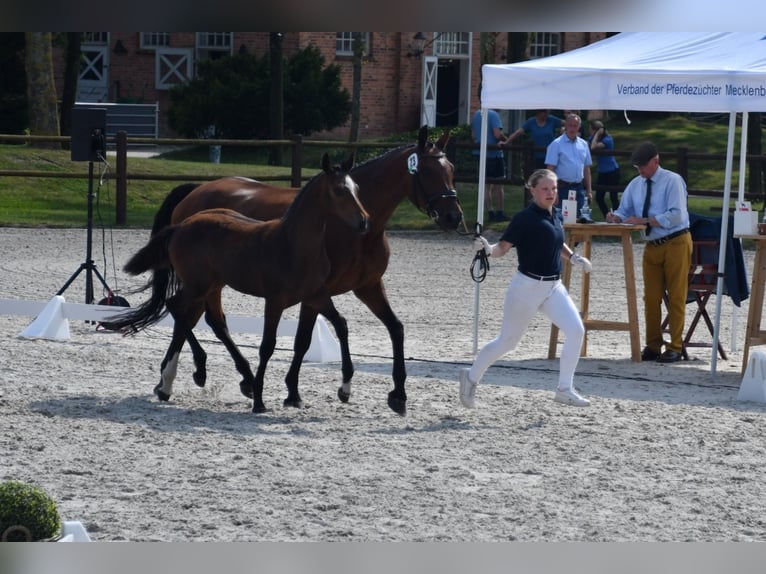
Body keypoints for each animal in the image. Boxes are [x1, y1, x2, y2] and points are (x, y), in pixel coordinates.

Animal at [106, 153, 368, 414]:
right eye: (338, 190)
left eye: (356, 188)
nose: (364, 221)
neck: (294, 244)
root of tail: (181, 225)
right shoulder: (274, 300)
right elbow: (267, 345)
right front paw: (260, 402)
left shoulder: (316, 295)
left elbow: (341, 325)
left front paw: (345, 389)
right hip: (197, 285)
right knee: (177, 309)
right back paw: (190, 376)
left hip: (210, 286)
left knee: (198, 318)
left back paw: (179, 381)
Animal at [136, 126, 462, 416]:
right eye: (427, 172)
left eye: (451, 169)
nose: (453, 217)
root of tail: (195, 192)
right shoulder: (314, 294)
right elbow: (303, 340)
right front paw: (293, 392)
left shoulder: (367, 287)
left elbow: (395, 328)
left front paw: (398, 395)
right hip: (204, 281)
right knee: (194, 316)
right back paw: (202, 374)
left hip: (211, 282)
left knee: (206, 320)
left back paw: (203, 378)